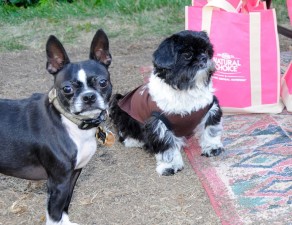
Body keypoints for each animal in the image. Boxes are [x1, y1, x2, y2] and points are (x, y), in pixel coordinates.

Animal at [0, 29, 112, 224]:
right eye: (67, 89)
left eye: (103, 82)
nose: (88, 96)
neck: (70, 122)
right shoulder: (58, 182)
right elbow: (54, 215)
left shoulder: (73, 176)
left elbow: (65, 205)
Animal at [109, 29, 224, 176]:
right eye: (187, 55)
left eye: (206, 51)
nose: (204, 58)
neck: (185, 89)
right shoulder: (158, 124)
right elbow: (167, 147)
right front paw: (171, 165)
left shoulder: (210, 109)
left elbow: (210, 130)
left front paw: (212, 147)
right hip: (125, 116)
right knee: (124, 132)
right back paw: (134, 140)